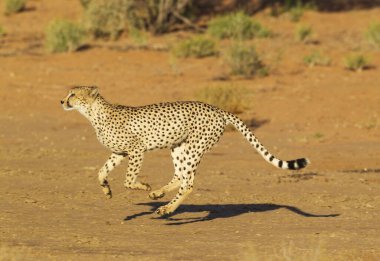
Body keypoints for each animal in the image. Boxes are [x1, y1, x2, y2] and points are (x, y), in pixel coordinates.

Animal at [59, 86, 308, 214]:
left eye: (74, 94)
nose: (62, 101)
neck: (94, 113)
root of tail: (217, 108)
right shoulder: (120, 153)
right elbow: (101, 172)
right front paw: (107, 190)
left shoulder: (136, 149)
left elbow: (129, 180)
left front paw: (143, 185)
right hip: (179, 147)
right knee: (180, 175)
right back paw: (159, 195)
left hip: (193, 149)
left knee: (188, 182)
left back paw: (167, 209)